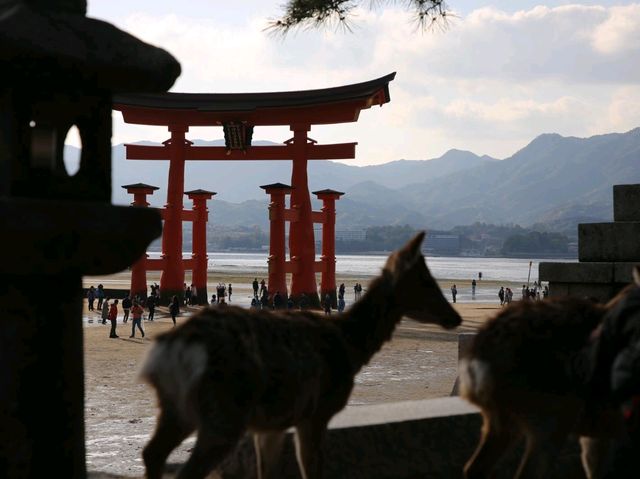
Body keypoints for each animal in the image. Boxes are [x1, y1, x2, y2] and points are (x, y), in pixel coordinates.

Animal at [140, 232, 462, 479]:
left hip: (177, 409)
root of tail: (166, 352)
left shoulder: (272, 424)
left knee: (152, 453)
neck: (351, 345)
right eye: (426, 280)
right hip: (223, 413)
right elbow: (312, 471)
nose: (455, 317)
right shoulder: (317, 411)